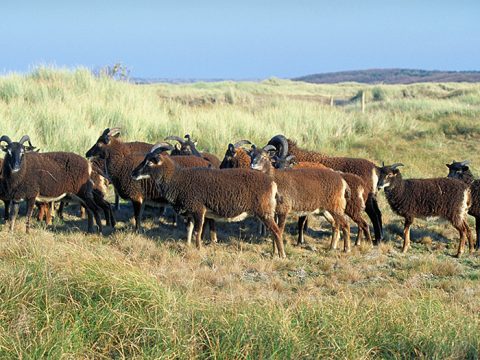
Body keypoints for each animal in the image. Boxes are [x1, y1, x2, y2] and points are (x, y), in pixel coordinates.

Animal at [131, 145, 284, 258]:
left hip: (264, 211)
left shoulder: (199, 209)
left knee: (277, 231)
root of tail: (272, 183)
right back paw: (274, 252)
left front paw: (198, 249)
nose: (133, 173)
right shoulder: (191, 212)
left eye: (150, 162)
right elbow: (189, 229)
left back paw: (281, 255)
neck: (177, 179)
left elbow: (197, 232)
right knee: (273, 232)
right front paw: (188, 246)